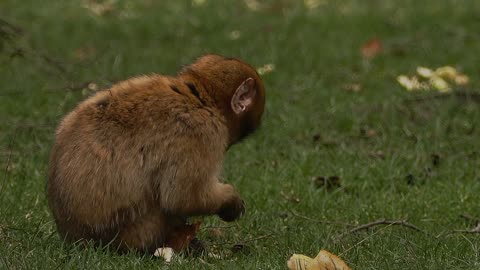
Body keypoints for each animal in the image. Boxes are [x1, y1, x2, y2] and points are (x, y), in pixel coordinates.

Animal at [46, 54, 266, 253]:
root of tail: (74, 238)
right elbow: (182, 197)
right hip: (133, 232)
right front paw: (230, 200)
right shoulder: (202, 133)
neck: (201, 98)